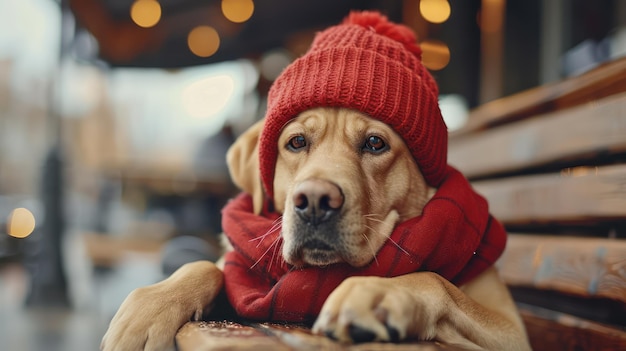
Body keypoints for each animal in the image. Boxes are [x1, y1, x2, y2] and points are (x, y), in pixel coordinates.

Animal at [100, 108, 528, 351]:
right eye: (296, 142)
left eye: (375, 142)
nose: (316, 201)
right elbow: (208, 266)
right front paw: (148, 309)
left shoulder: (512, 332)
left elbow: (434, 279)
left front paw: (375, 292)